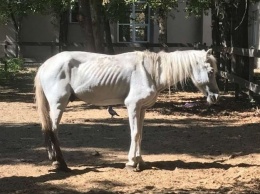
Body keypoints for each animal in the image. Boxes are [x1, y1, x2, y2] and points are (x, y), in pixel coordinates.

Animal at [33, 49, 218, 171]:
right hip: (58, 104)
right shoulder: (133, 106)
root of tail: (46, 65)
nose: (216, 96)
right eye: (211, 71)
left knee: (49, 130)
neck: (150, 72)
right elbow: (134, 133)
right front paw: (131, 163)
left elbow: (140, 134)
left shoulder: (142, 108)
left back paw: (54, 160)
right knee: (52, 131)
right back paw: (60, 163)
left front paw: (140, 161)